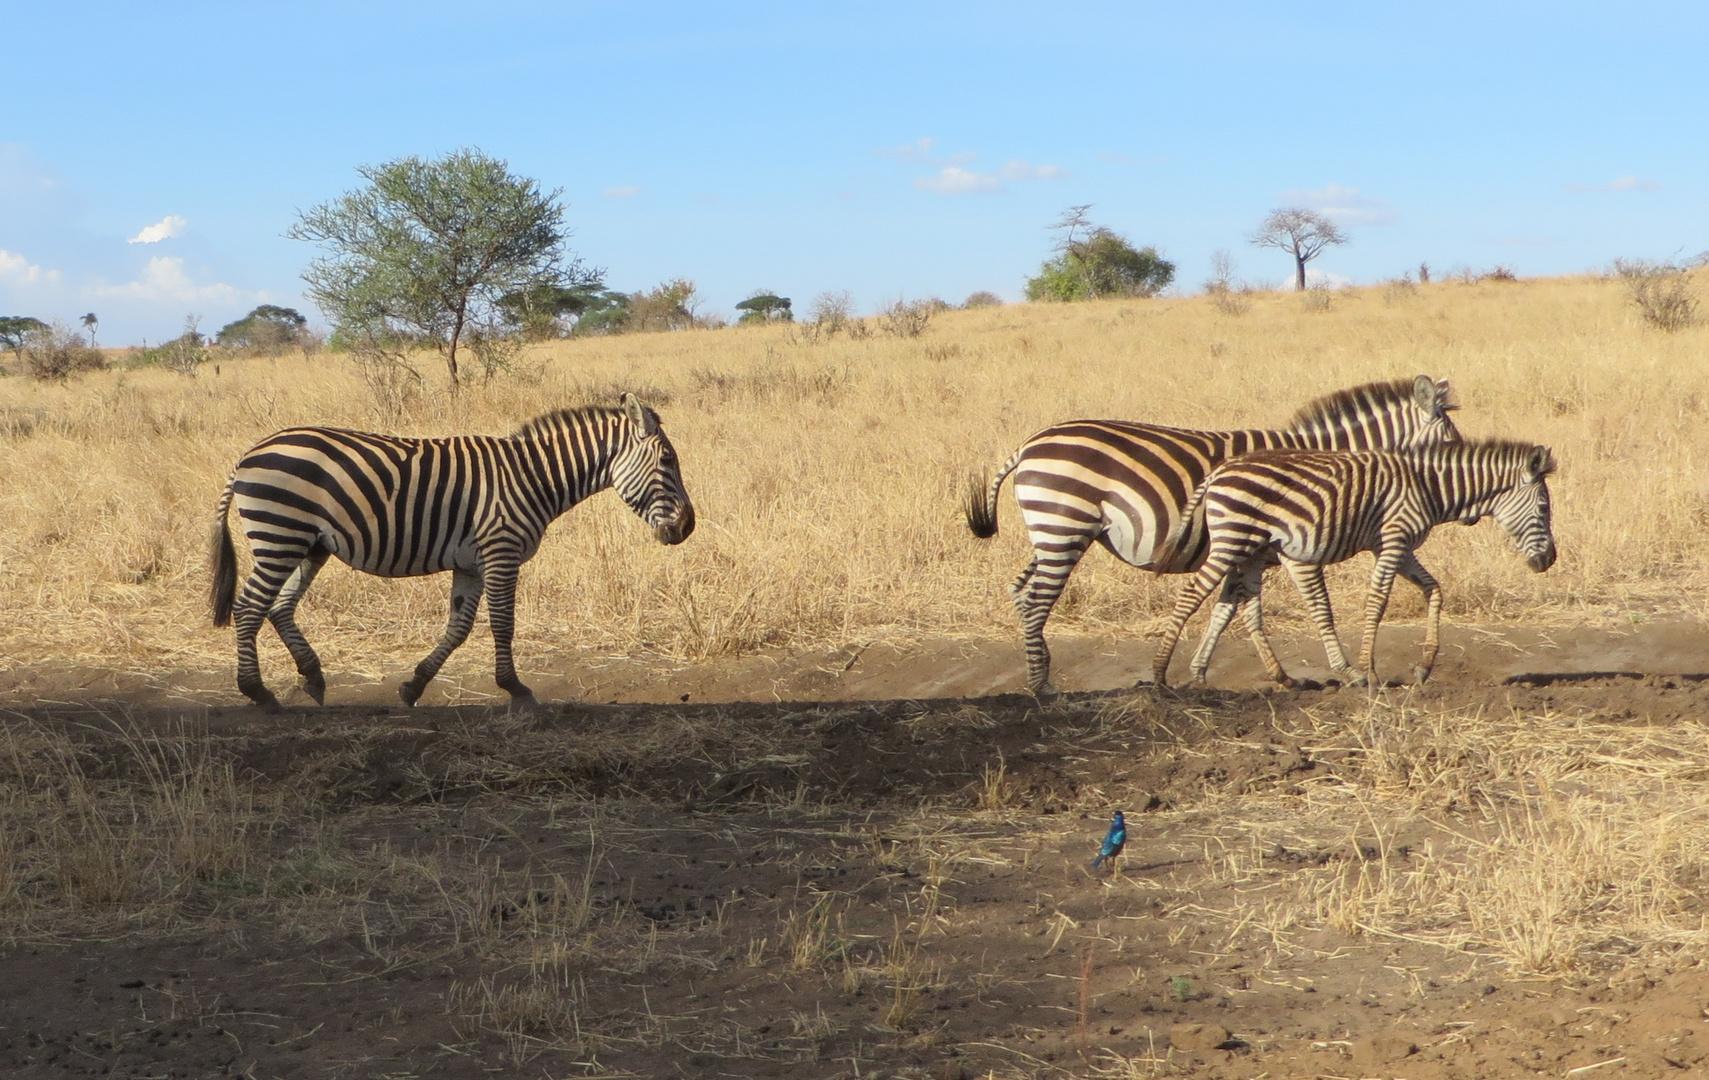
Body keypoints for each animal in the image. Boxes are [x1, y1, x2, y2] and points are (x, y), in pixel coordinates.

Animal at [211, 394, 693, 707]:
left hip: (307, 544)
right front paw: (516, 689)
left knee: (280, 606)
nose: (687, 528)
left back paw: (311, 678)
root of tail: (248, 455)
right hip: (280, 534)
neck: (532, 477)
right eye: (668, 460)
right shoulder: (500, 552)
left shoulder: (472, 563)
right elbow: (503, 624)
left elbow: (459, 628)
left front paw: (414, 686)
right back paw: (258, 693)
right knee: (250, 608)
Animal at [970, 375, 1462, 697]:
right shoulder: (1282, 546)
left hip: (1053, 533)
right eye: (1451, 446)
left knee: (1021, 591)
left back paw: (1039, 668)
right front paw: (1339, 672)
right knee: (1038, 598)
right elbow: (1281, 608)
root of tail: (1030, 444)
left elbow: (1232, 611)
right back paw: (1041, 686)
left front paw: (1222, 673)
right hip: (1064, 526)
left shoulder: (1250, 551)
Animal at [1148, 437, 1565, 683]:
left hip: (1248, 546)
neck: (1427, 487)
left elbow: (1434, 590)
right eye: (1544, 508)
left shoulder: (1397, 546)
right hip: (1232, 539)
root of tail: (1220, 469)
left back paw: (1229, 675)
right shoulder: (1393, 539)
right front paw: (1368, 669)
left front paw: (1424, 665)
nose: (1548, 561)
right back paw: (1160, 674)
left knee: (1233, 605)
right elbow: (1377, 601)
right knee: (1191, 595)